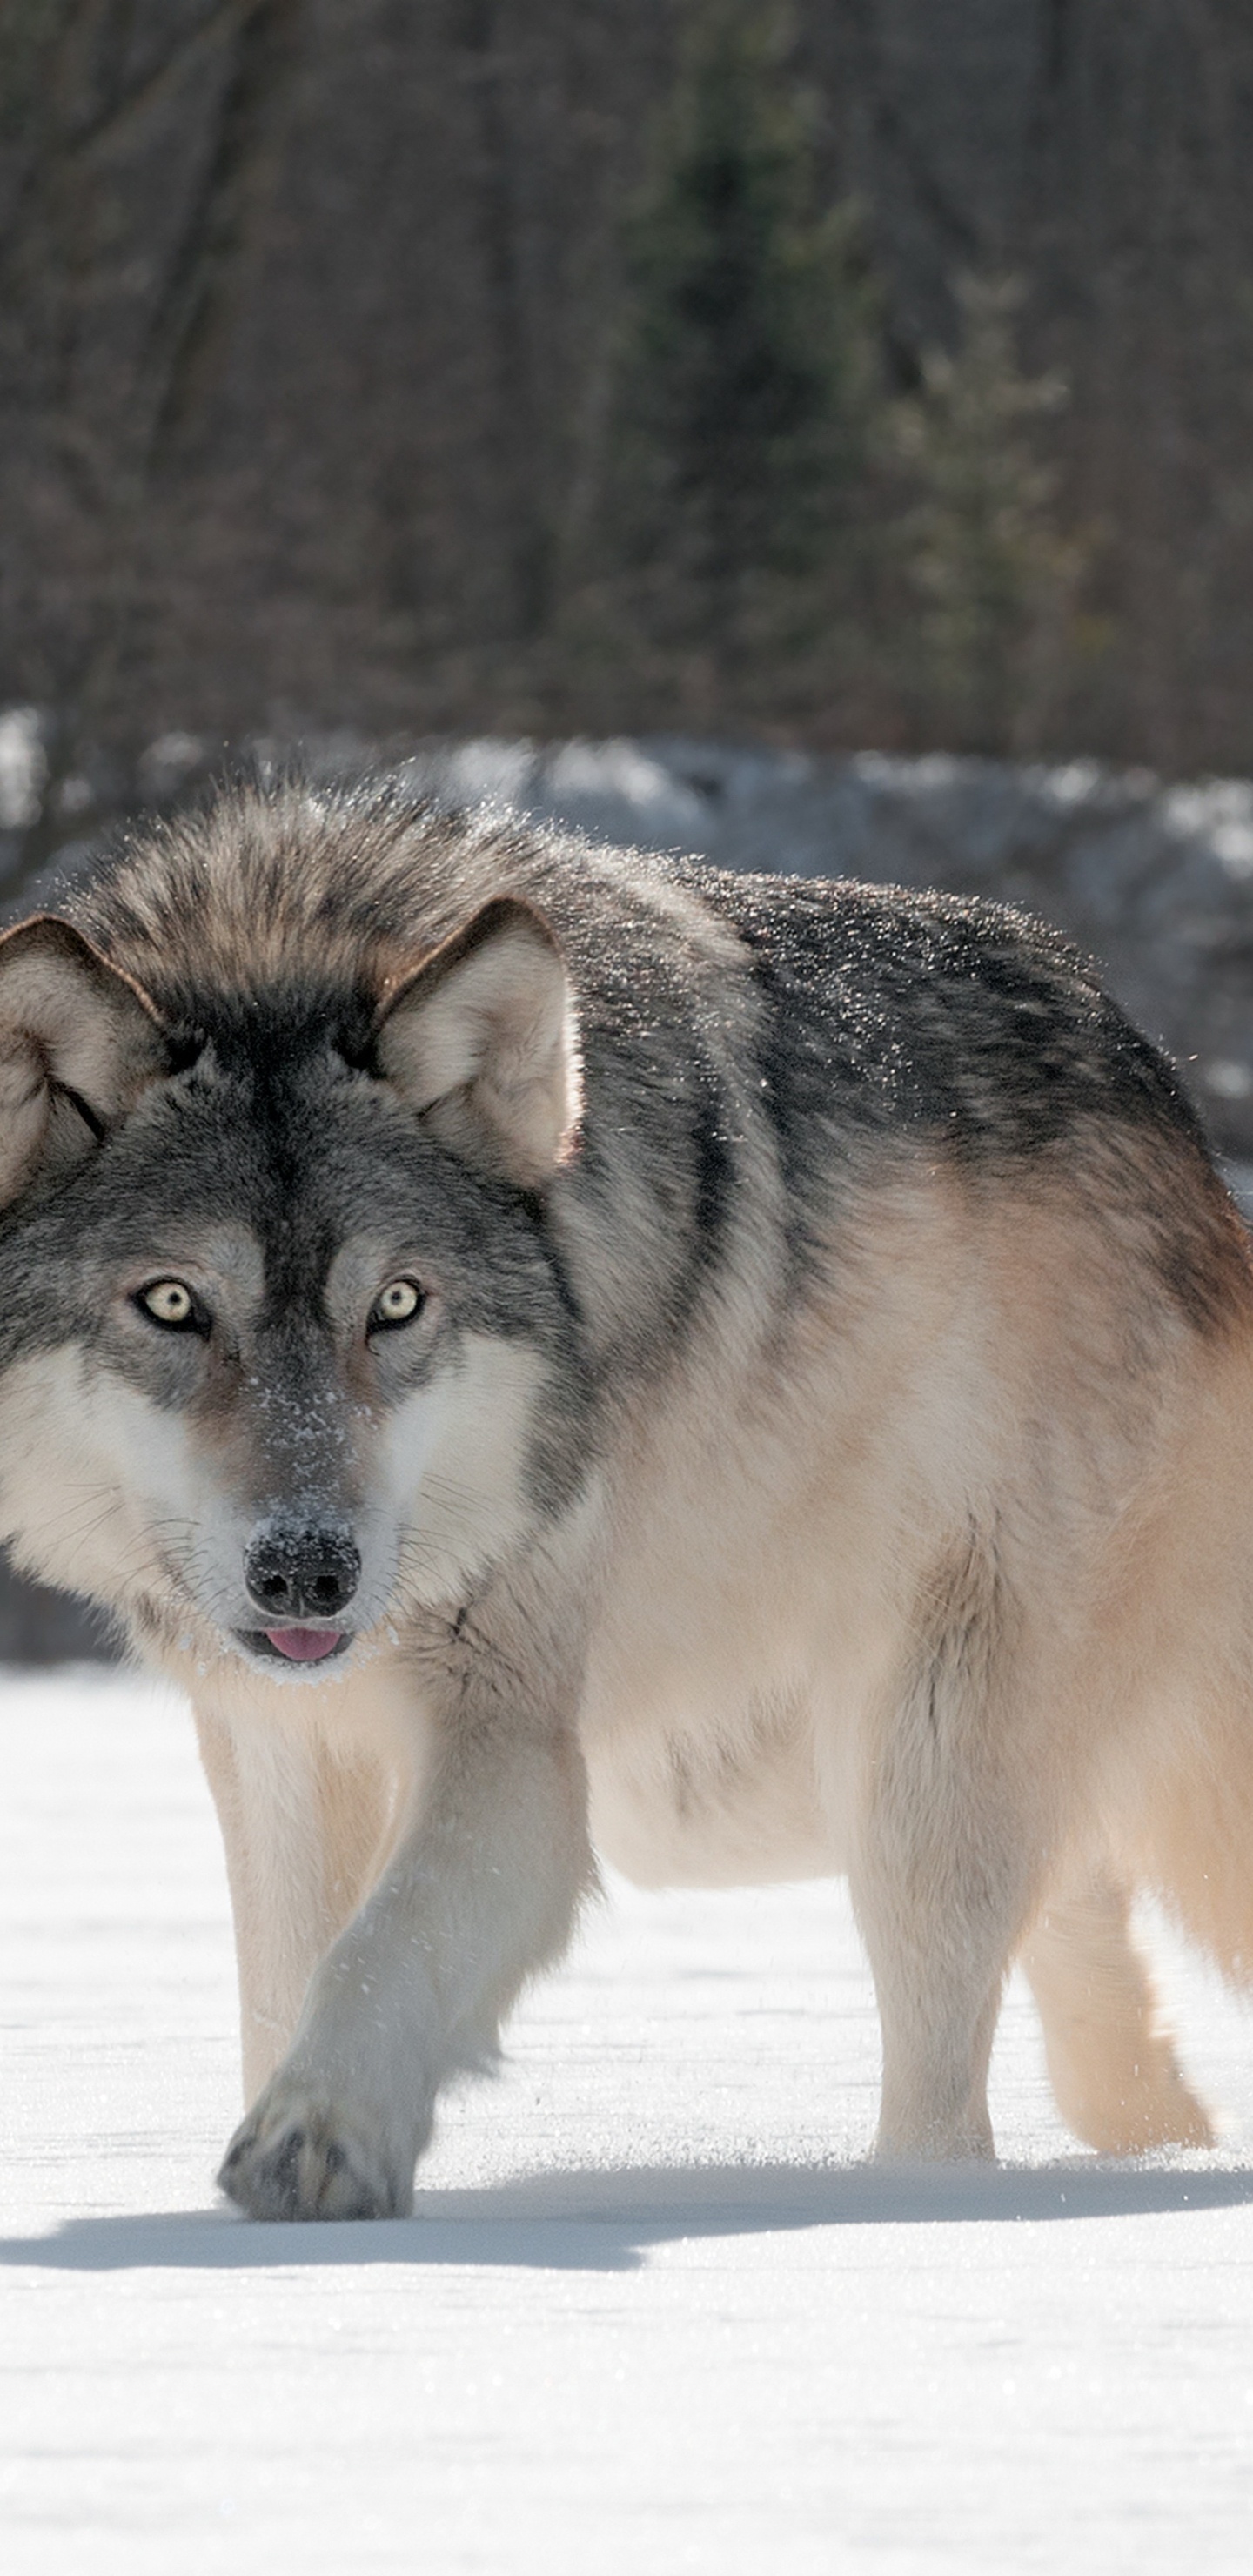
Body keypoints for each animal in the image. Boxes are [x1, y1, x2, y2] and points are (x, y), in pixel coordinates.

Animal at [0, 777, 1247, 2217]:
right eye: (172, 1305)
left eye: (398, 1305)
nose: (309, 1570)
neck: (289, 939)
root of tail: (1187, 1137)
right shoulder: (281, 1742)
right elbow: (288, 1979)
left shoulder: (514, 1742)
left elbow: (384, 1947)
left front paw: (315, 2142)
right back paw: (1146, 2150)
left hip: (910, 1770)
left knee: (950, 2088)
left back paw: (918, 2204)